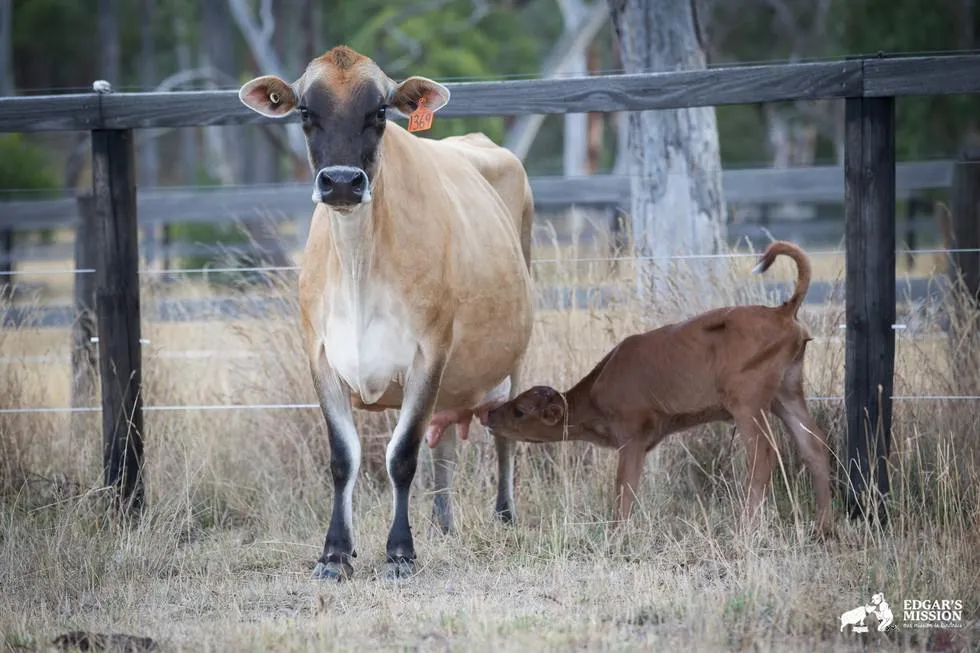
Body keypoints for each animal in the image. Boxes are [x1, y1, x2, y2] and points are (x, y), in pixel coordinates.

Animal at [237, 45, 535, 580]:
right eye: (305, 112)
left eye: (379, 112)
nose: (340, 182)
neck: (359, 267)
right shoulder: (320, 356)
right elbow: (343, 458)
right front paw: (335, 554)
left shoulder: (429, 353)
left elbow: (402, 457)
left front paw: (400, 553)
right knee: (445, 447)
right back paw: (443, 524)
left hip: (514, 357)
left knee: (504, 436)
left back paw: (504, 517)